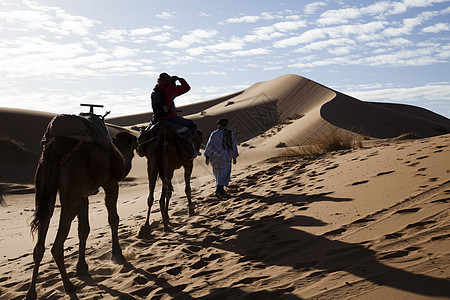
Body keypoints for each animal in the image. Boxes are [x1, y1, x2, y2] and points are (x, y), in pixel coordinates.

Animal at [26, 131, 137, 298]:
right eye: (133, 152)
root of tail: (52, 151)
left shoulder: (83, 196)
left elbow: (84, 229)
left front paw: (82, 267)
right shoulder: (110, 184)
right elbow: (113, 219)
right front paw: (118, 255)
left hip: (43, 188)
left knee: (40, 242)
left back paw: (31, 292)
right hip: (70, 191)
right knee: (56, 246)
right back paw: (69, 286)